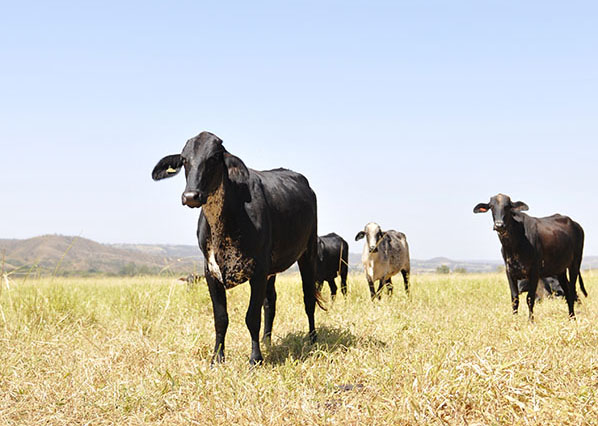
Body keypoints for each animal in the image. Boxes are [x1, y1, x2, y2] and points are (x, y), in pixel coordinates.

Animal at [152, 131, 326, 364]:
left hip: (307, 252)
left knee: (308, 299)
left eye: (214, 158)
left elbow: (252, 317)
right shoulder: (211, 272)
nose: (190, 196)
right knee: (270, 302)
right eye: (184, 160)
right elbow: (221, 318)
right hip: (272, 269)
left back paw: (312, 340)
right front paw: (217, 358)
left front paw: (255, 359)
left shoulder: (258, 271)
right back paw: (267, 341)